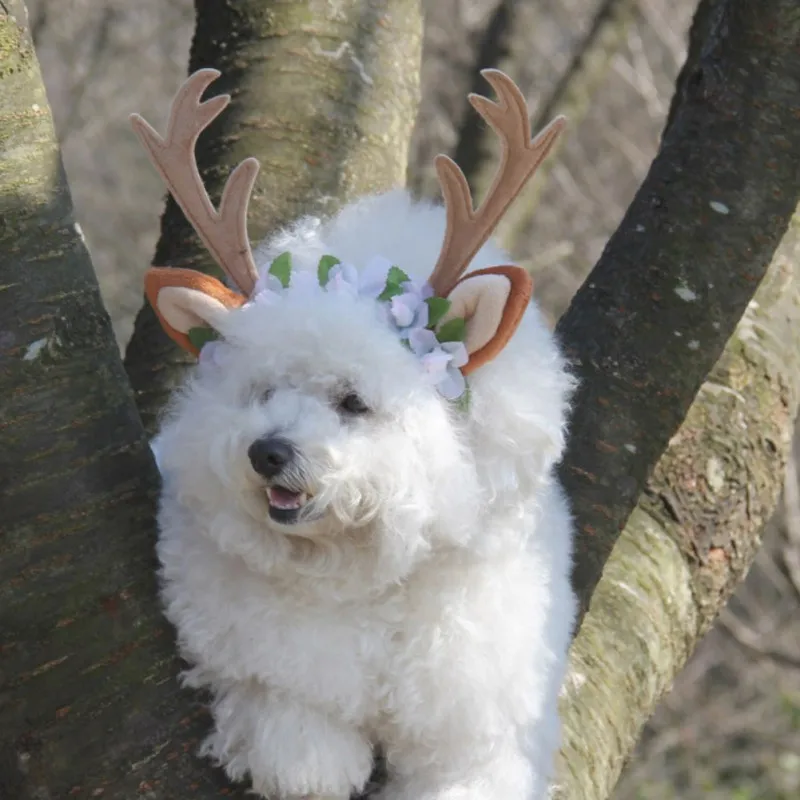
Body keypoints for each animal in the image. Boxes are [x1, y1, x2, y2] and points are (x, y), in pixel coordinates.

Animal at [131, 69, 576, 800]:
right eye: (263, 392)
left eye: (353, 402)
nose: (266, 452)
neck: (372, 577)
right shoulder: (268, 669)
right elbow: (300, 746)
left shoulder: (475, 728)